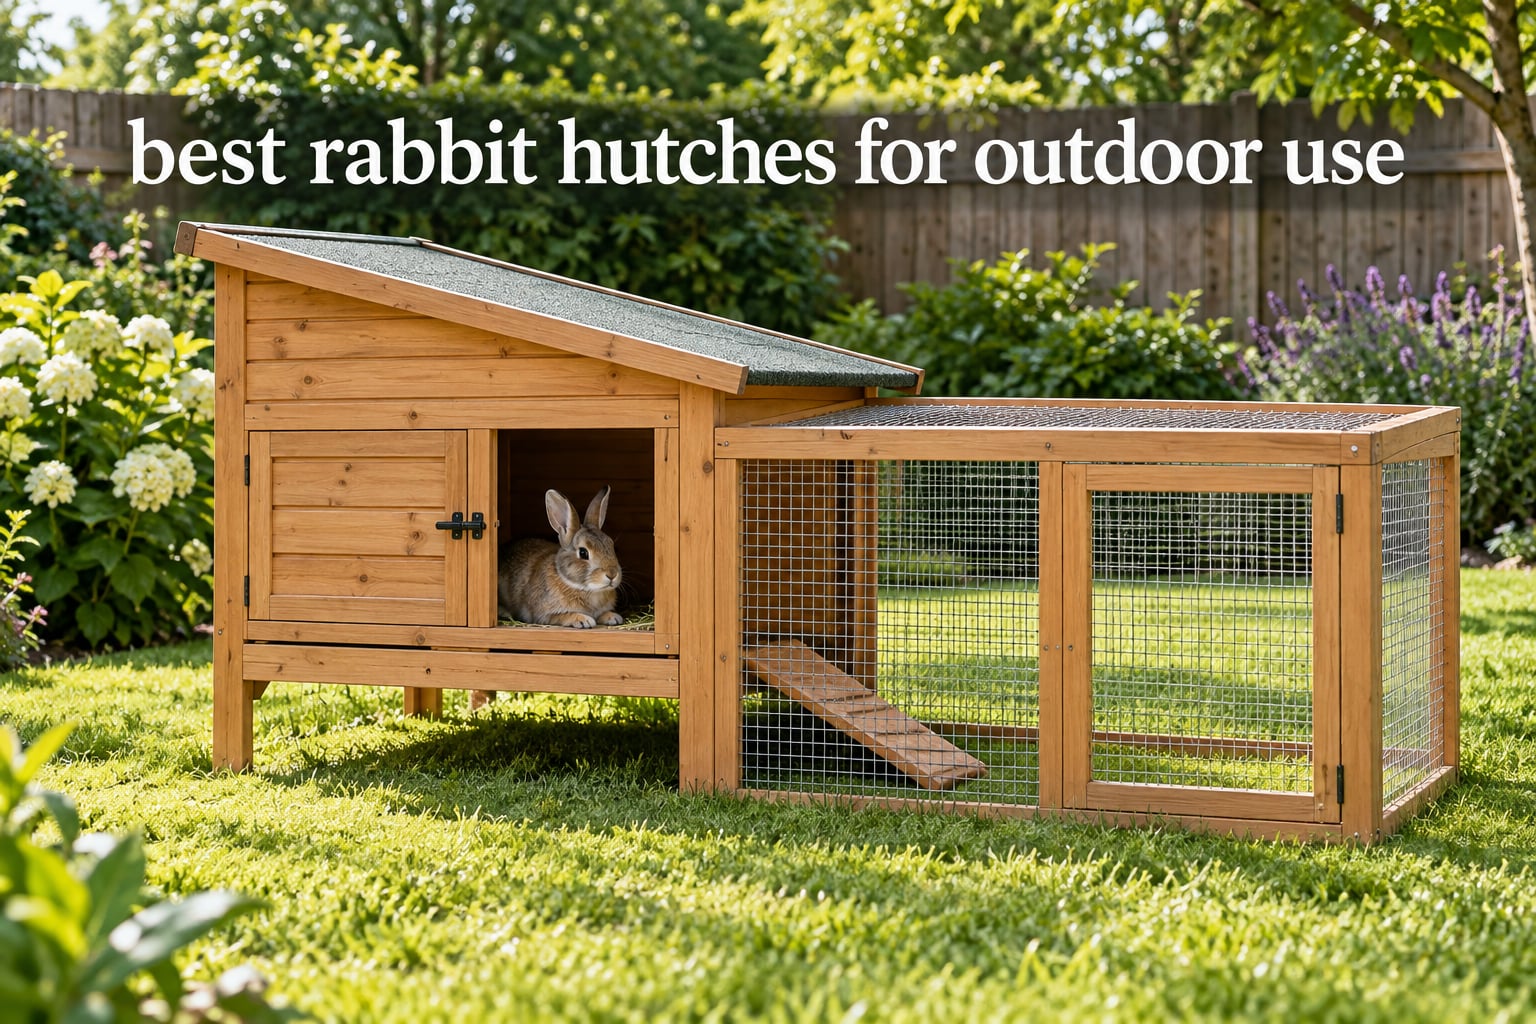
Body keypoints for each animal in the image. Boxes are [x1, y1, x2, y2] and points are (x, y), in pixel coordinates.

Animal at [498, 486, 625, 628]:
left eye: (611, 545)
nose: (612, 574)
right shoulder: (544, 615)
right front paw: (583, 619)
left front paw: (613, 617)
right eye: (583, 553)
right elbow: (563, 616)